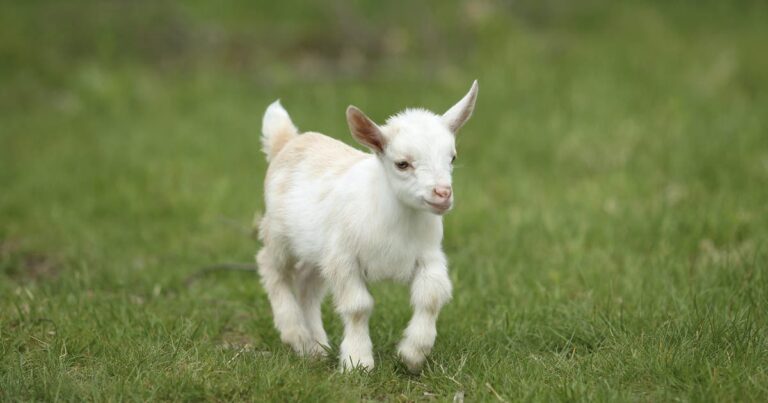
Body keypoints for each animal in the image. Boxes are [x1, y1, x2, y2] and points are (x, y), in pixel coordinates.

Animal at [256, 81, 478, 373]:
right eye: (402, 163)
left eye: (452, 157)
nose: (442, 194)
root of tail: (288, 141)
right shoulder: (344, 258)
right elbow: (358, 307)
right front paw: (357, 362)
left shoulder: (429, 257)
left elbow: (430, 297)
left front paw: (413, 354)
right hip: (279, 235)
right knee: (271, 267)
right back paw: (296, 335)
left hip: (318, 249)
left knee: (307, 283)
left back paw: (316, 347)